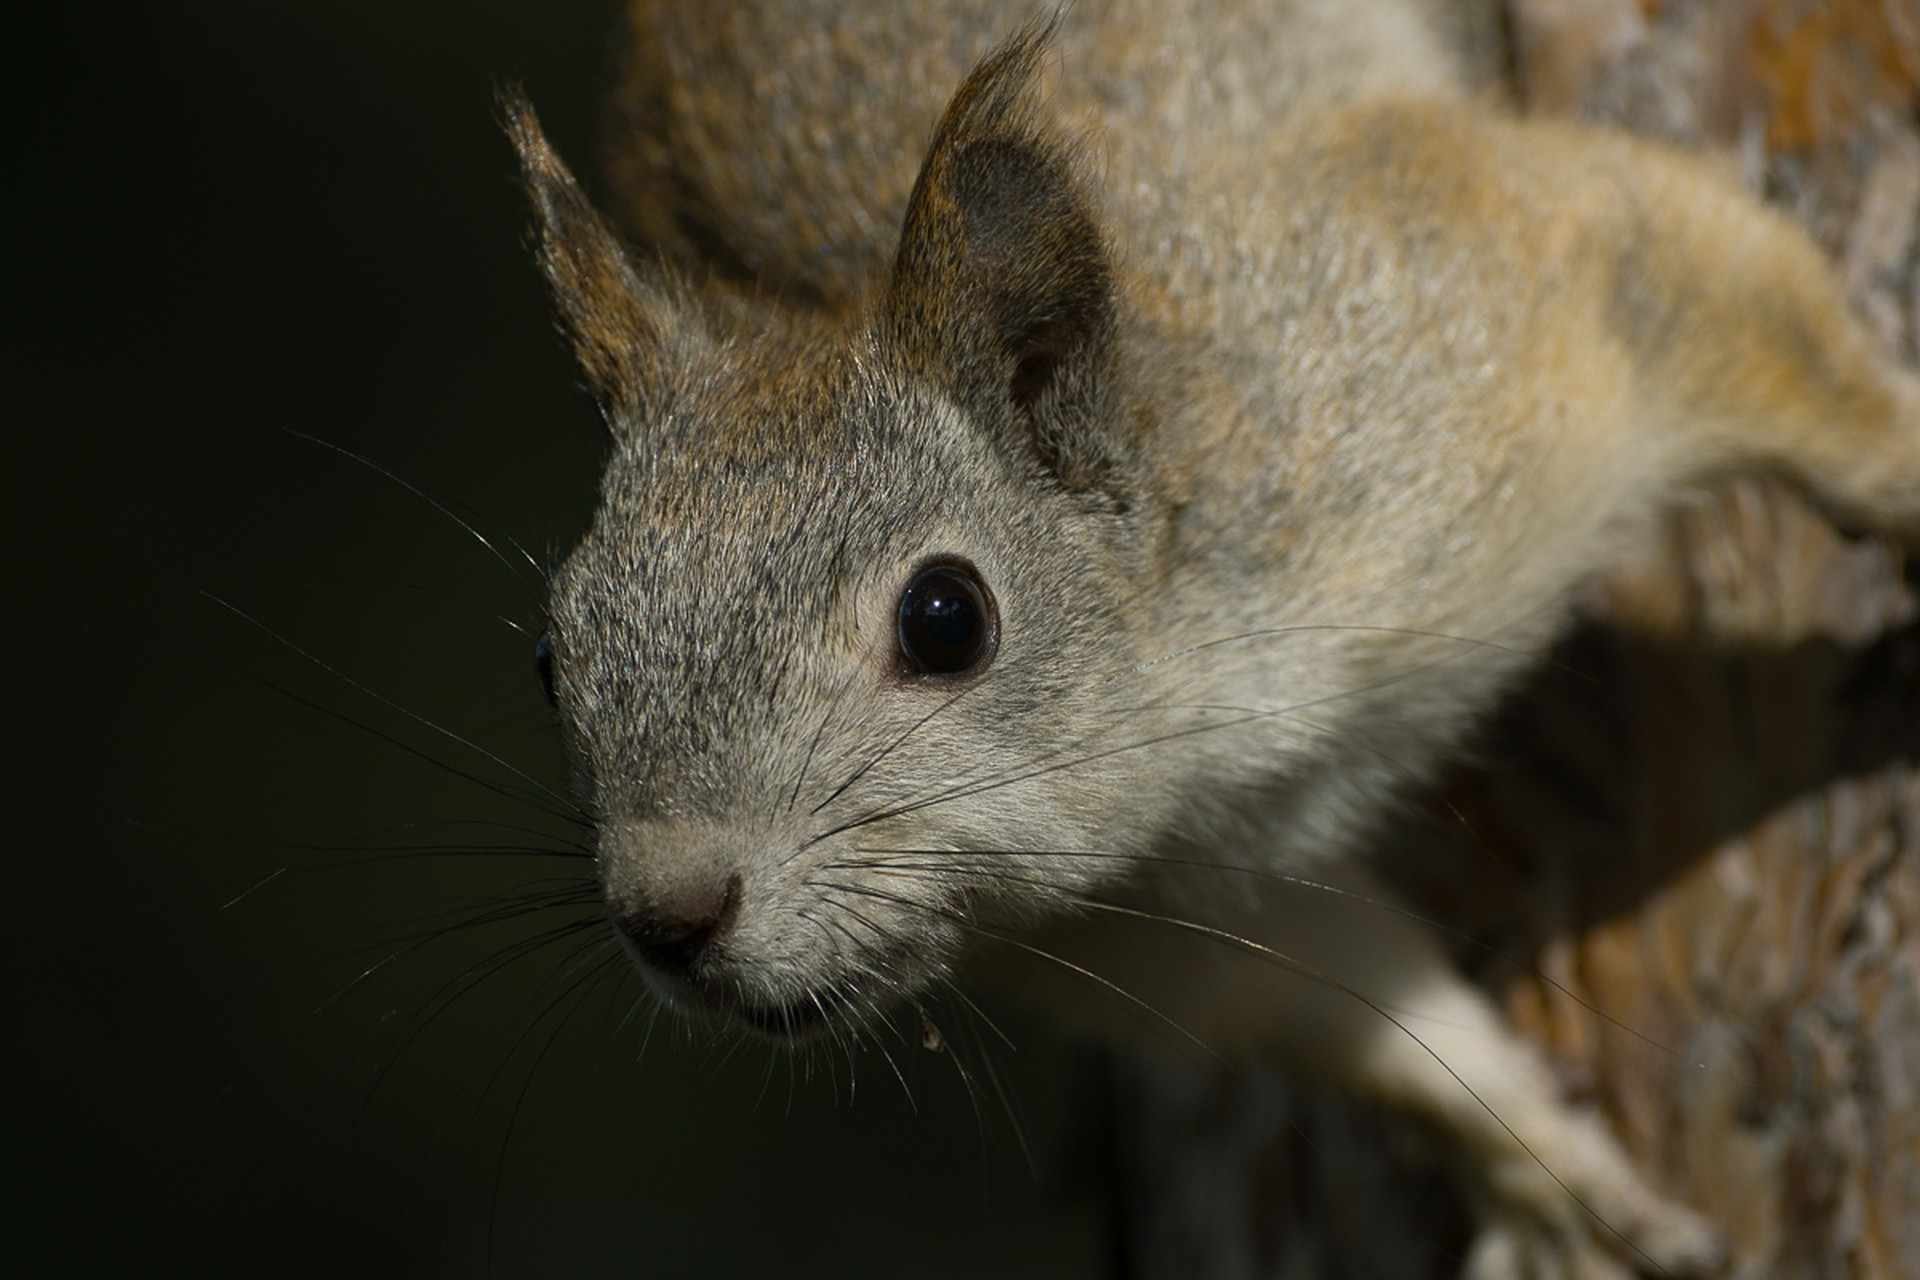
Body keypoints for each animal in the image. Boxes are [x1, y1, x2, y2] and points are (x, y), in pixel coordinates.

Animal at [503, 2, 1912, 1280]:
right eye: (553, 657)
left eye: (946, 618)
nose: (668, 916)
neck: (1186, 750)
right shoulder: (1176, 926)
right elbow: (1360, 1006)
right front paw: (1547, 1176)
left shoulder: (1485, 320)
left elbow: (1699, 282)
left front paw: (1899, 472)